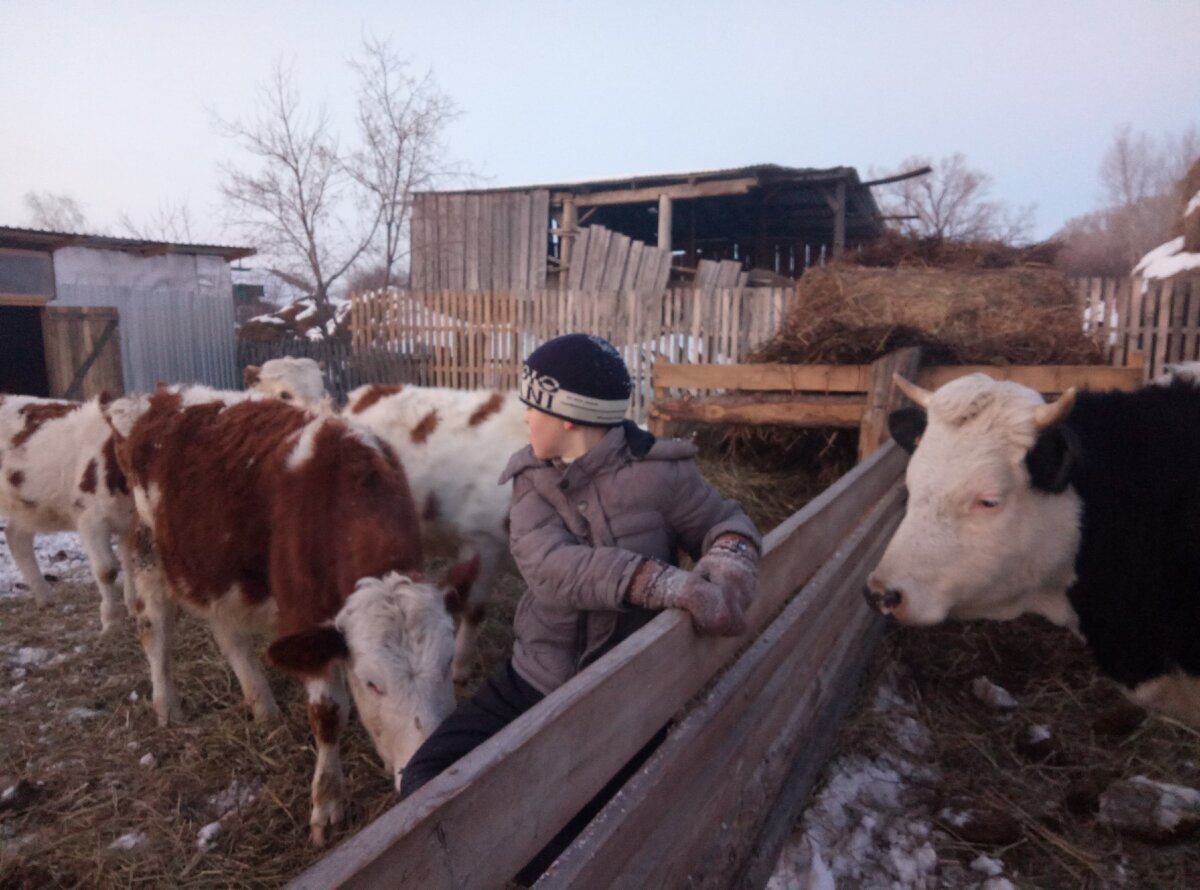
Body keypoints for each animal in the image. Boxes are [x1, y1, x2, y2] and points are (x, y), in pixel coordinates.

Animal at [0, 391, 136, 633]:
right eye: (119, 440)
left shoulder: (129, 522)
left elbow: (129, 563)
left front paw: (133, 610)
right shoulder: (91, 520)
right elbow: (107, 570)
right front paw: (110, 622)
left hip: (28, 506)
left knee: (17, 537)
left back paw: (44, 598)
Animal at [104, 386, 477, 849]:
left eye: (447, 664)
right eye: (372, 683)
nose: (430, 767)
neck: (340, 498)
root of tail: (155, 395)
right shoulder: (303, 615)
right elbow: (328, 714)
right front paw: (327, 804)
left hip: (217, 573)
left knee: (230, 636)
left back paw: (261, 703)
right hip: (150, 553)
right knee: (154, 632)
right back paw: (167, 705)